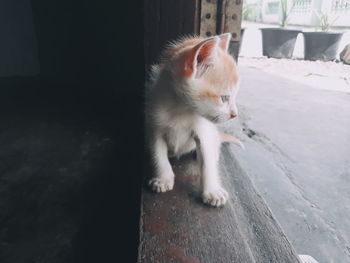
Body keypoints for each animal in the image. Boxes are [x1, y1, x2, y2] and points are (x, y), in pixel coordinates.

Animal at [144, 33, 241, 207]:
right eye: (224, 98)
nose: (234, 114)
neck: (180, 109)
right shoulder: (154, 126)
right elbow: (158, 155)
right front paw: (163, 178)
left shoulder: (204, 132)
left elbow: (208, 163)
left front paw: (212, 191)